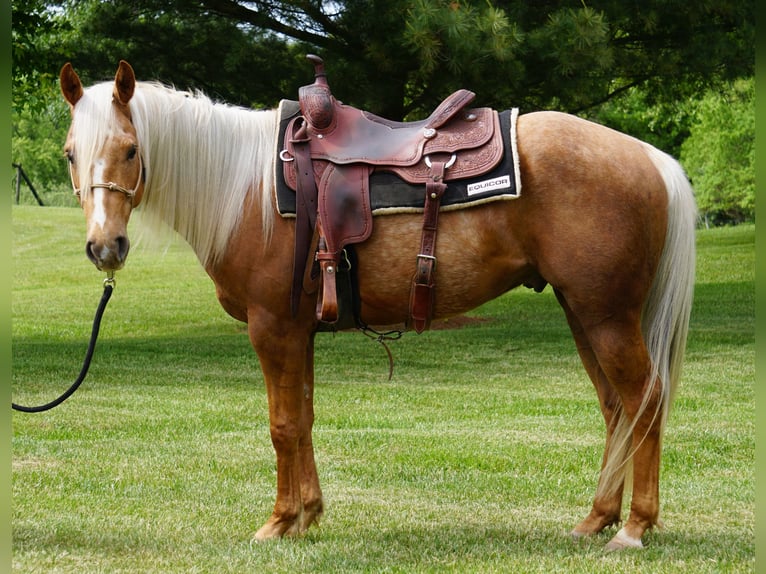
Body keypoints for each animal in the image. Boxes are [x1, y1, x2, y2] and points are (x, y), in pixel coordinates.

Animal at [58, 60, 696, 551]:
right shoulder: (299, 331)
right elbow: (304, 418)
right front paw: (308, 515)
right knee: (617, 410)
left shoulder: (272, 328)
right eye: (69, 153)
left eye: (131, 149)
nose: (104, 247)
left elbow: (282, 425)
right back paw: (596, 519)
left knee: (646, 399)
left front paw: (278, 523)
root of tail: (650, 158)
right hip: (583, 312)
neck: (245, 190)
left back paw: (634, 528)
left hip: (607, 316)